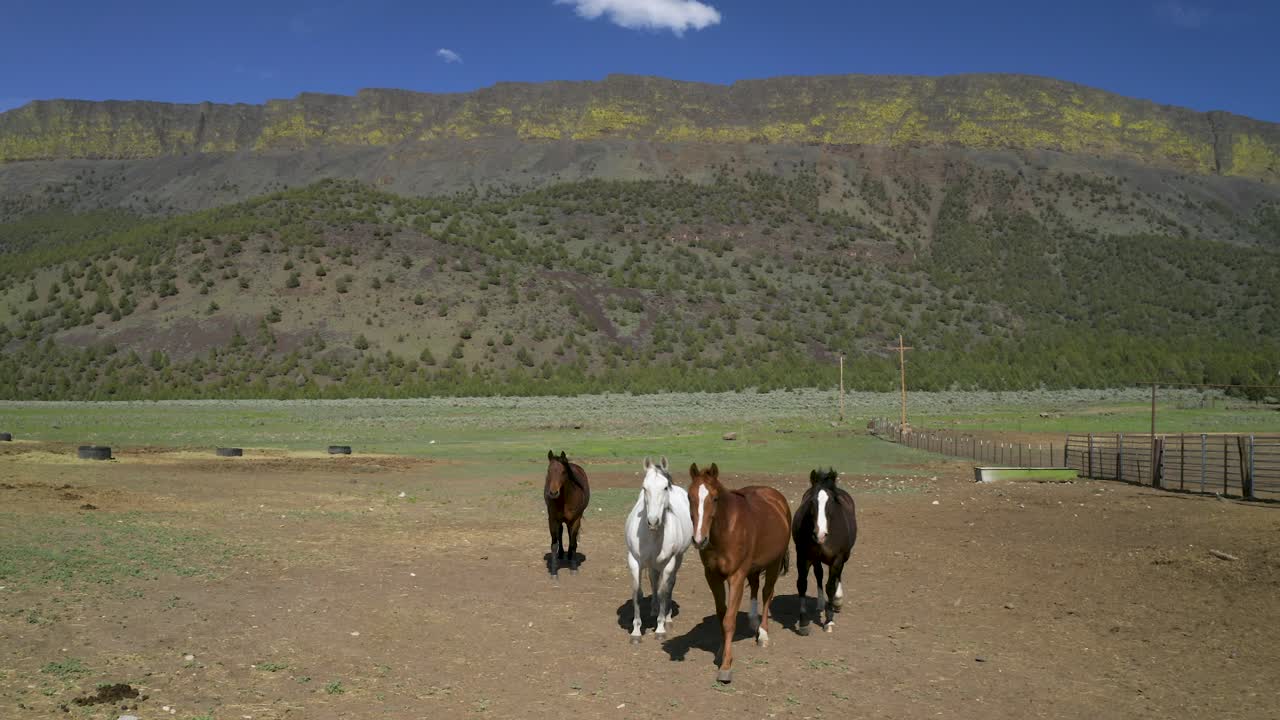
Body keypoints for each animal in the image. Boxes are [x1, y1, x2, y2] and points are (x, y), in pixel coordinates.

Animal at [544, 450, 590, 579]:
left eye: (563, 472)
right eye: (548, 470)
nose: (553, 493)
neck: (565, 499)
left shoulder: (575, 520)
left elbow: (573, 543)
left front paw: (573, 569)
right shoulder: (552, 520)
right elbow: (554, 544)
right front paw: (554, 572)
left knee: (570, 535)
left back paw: (569, 555)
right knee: (561, 532)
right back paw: (561, 554)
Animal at [624, 456, 693, 644]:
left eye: (665, 487)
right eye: (644, 487)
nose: (653, 521)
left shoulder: (669, 562)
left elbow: (664, 591)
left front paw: (660, 628)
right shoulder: (634, 560)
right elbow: (637, 593)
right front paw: (636, 632)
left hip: (678, 558)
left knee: (669, 585)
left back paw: (666, 617)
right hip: (652, 563)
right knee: (654, 580)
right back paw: (655, 609)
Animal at [687, 462, 791, 684]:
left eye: (714, 498)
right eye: (690, 497)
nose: (699, 540)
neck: (726, 529)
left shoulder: (735, 576)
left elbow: (729, 620)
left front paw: (726, 667)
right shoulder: (712, 576)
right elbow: (722, 614)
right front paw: (720, 652)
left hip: (774, 562)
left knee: (767, 593)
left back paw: (763, 634)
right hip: (753, 566)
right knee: (755, 586)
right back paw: (753, 621)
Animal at [793, 467, 857, 634]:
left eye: (831, 502)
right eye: (811, 501)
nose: (820, 534)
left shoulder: (837, 558)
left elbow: (830, 585)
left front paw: (829, 620)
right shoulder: (803, 556)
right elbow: (802, 583)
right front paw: (803, 622)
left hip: (843, 556)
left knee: (837, 576)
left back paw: (837, 602)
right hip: (816, 558)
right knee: (819, 574)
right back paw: (821, 604)